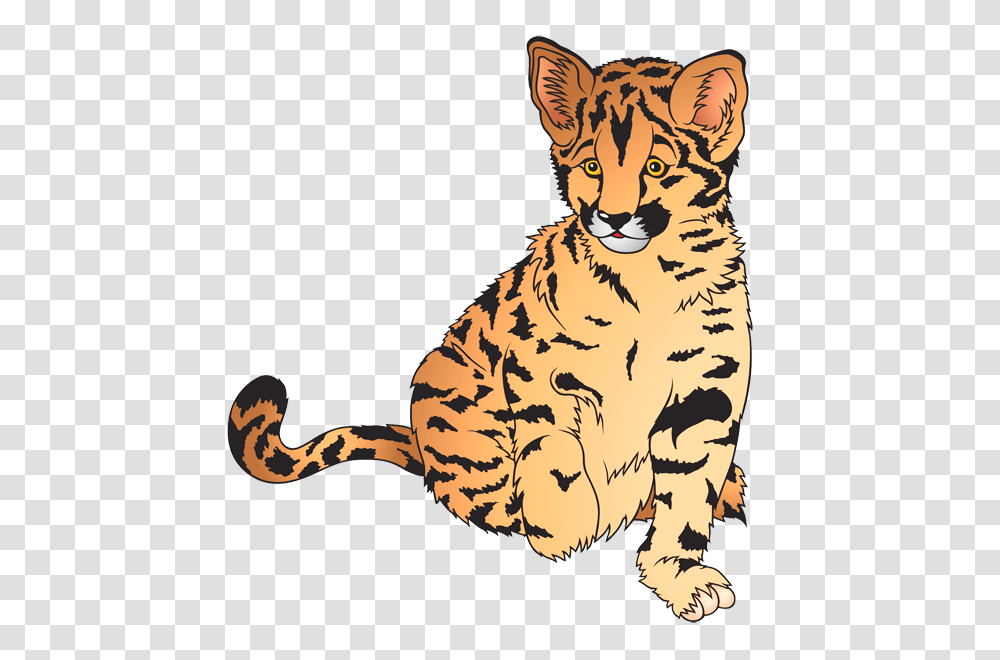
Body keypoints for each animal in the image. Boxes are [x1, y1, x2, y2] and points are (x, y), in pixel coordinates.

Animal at [228, 37, 751, 622]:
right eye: (592, 166)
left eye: (656, 166)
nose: (613, 218)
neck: (648, 279)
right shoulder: (537, 367)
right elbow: (555, 451)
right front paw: (566, 530)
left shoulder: (707, 391)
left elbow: (687, 494)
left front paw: (678, 574)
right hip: (445, 386)